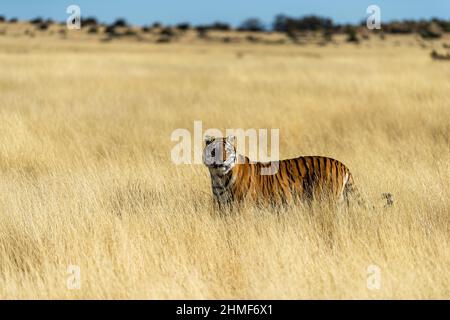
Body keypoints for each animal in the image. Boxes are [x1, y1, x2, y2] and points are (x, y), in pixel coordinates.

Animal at [202, 135, 392, 210]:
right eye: (214, 151)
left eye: (227, 150)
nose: (222, 161)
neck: (219, 178)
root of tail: (342, 164)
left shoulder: (242, 209)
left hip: (327, 200)